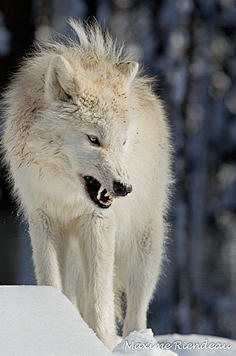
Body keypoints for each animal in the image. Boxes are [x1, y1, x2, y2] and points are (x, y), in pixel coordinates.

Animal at [1, 19, 171, 350]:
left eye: (123, 142)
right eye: (93, 139)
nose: (124, 187)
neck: (66, 193)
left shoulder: (98, 224)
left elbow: (99, 299)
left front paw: (98, 342)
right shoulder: (44, 221)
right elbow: (53, 283)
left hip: (144, 248)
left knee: (136, 311)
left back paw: (135, 343)